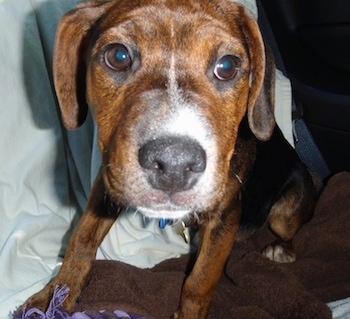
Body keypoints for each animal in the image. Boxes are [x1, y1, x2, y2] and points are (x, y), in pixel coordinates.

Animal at [24, 0, 316, 318]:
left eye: (227, 66)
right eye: (118, 56)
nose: (174, 166)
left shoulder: (224, 214)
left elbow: (199, 282)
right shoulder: (110, 178)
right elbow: (82, 238)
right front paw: (55, 294)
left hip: (283, 213)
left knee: (288, 227)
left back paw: (280, 249)